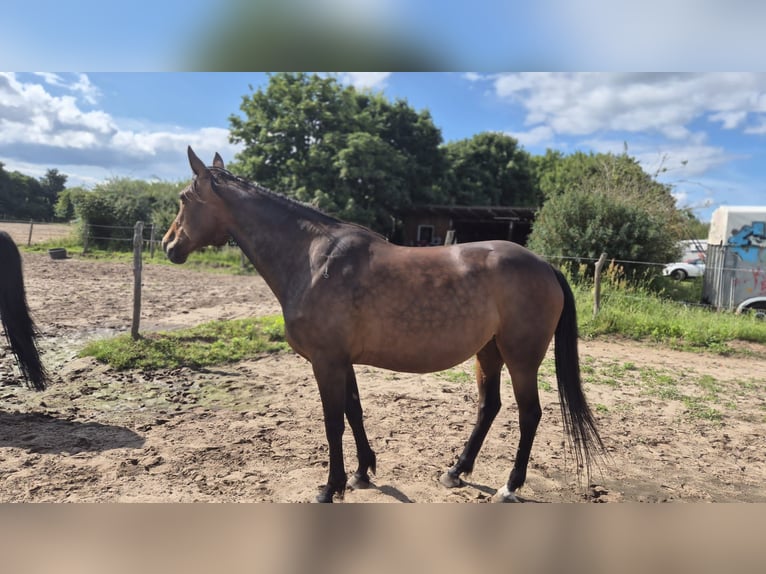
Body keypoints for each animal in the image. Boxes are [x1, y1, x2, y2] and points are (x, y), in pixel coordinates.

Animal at [164, 148, 608, 504]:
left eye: (184, 198)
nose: (169, 245)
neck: (313, 261)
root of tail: (545, 265)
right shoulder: (341, 361)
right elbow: (354, 412)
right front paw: (362, 473)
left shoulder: (326, 361)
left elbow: (332, 422)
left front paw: (330, 487)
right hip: (489, 351)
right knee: (489, 406)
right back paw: (455, 471)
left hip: (522, 357)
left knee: (529, 413)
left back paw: (510, 486)